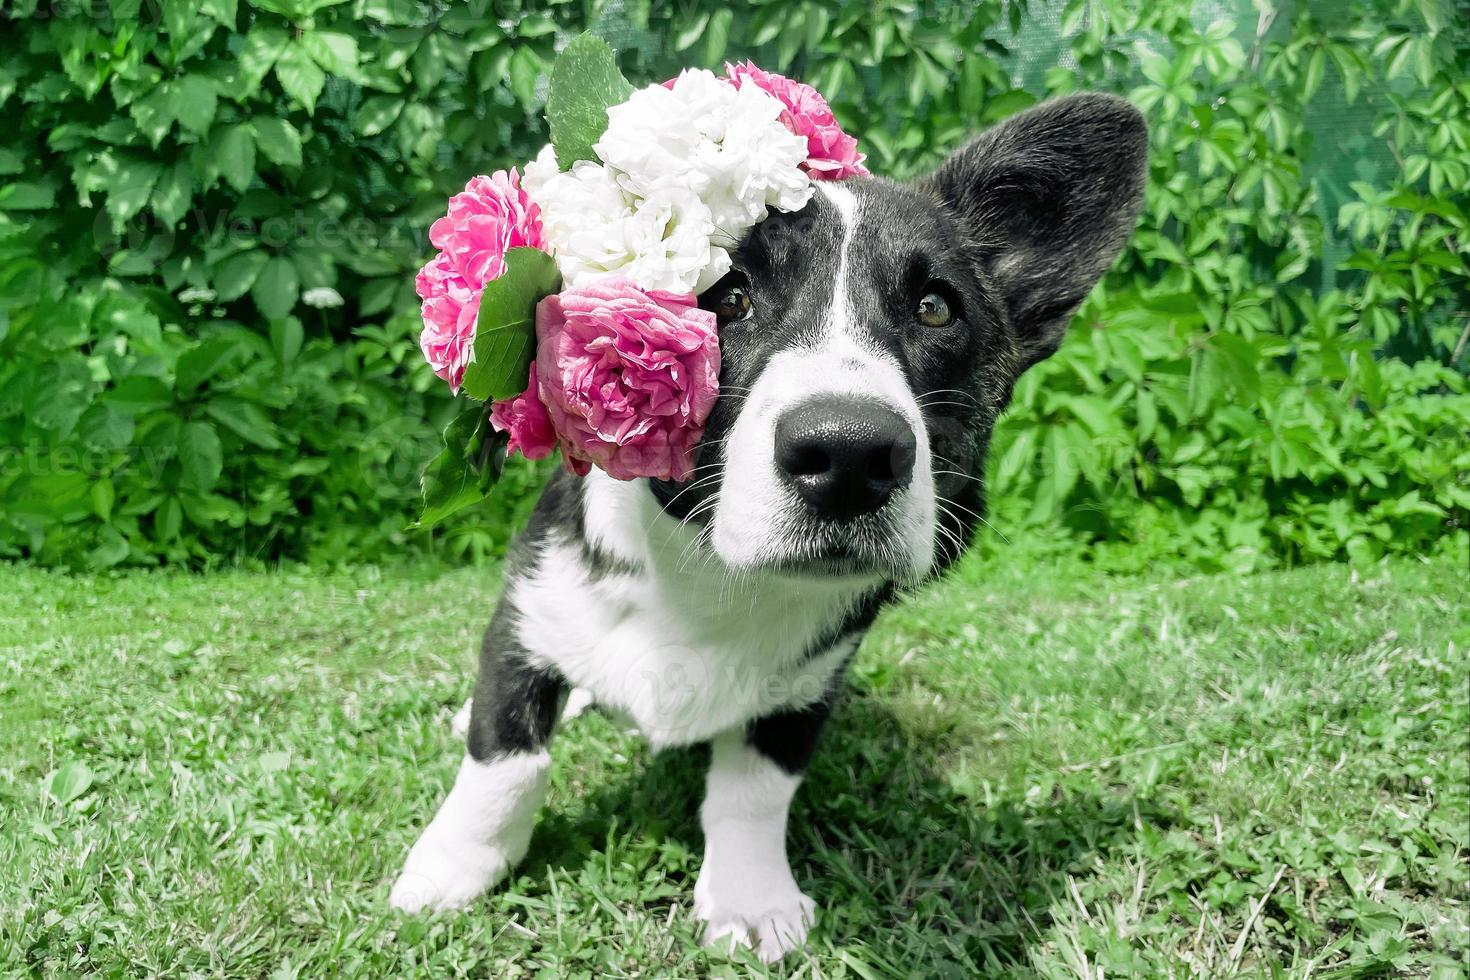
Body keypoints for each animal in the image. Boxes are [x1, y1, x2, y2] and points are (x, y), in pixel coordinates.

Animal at [388, 94, 1146, 963]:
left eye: (935, 308)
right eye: (726, 296)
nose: (850, 456)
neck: (707, 579)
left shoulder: (805, 692)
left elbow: (752, 793)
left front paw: (749, 900)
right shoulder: (527, 617)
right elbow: (504, 763)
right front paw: (451, 869)